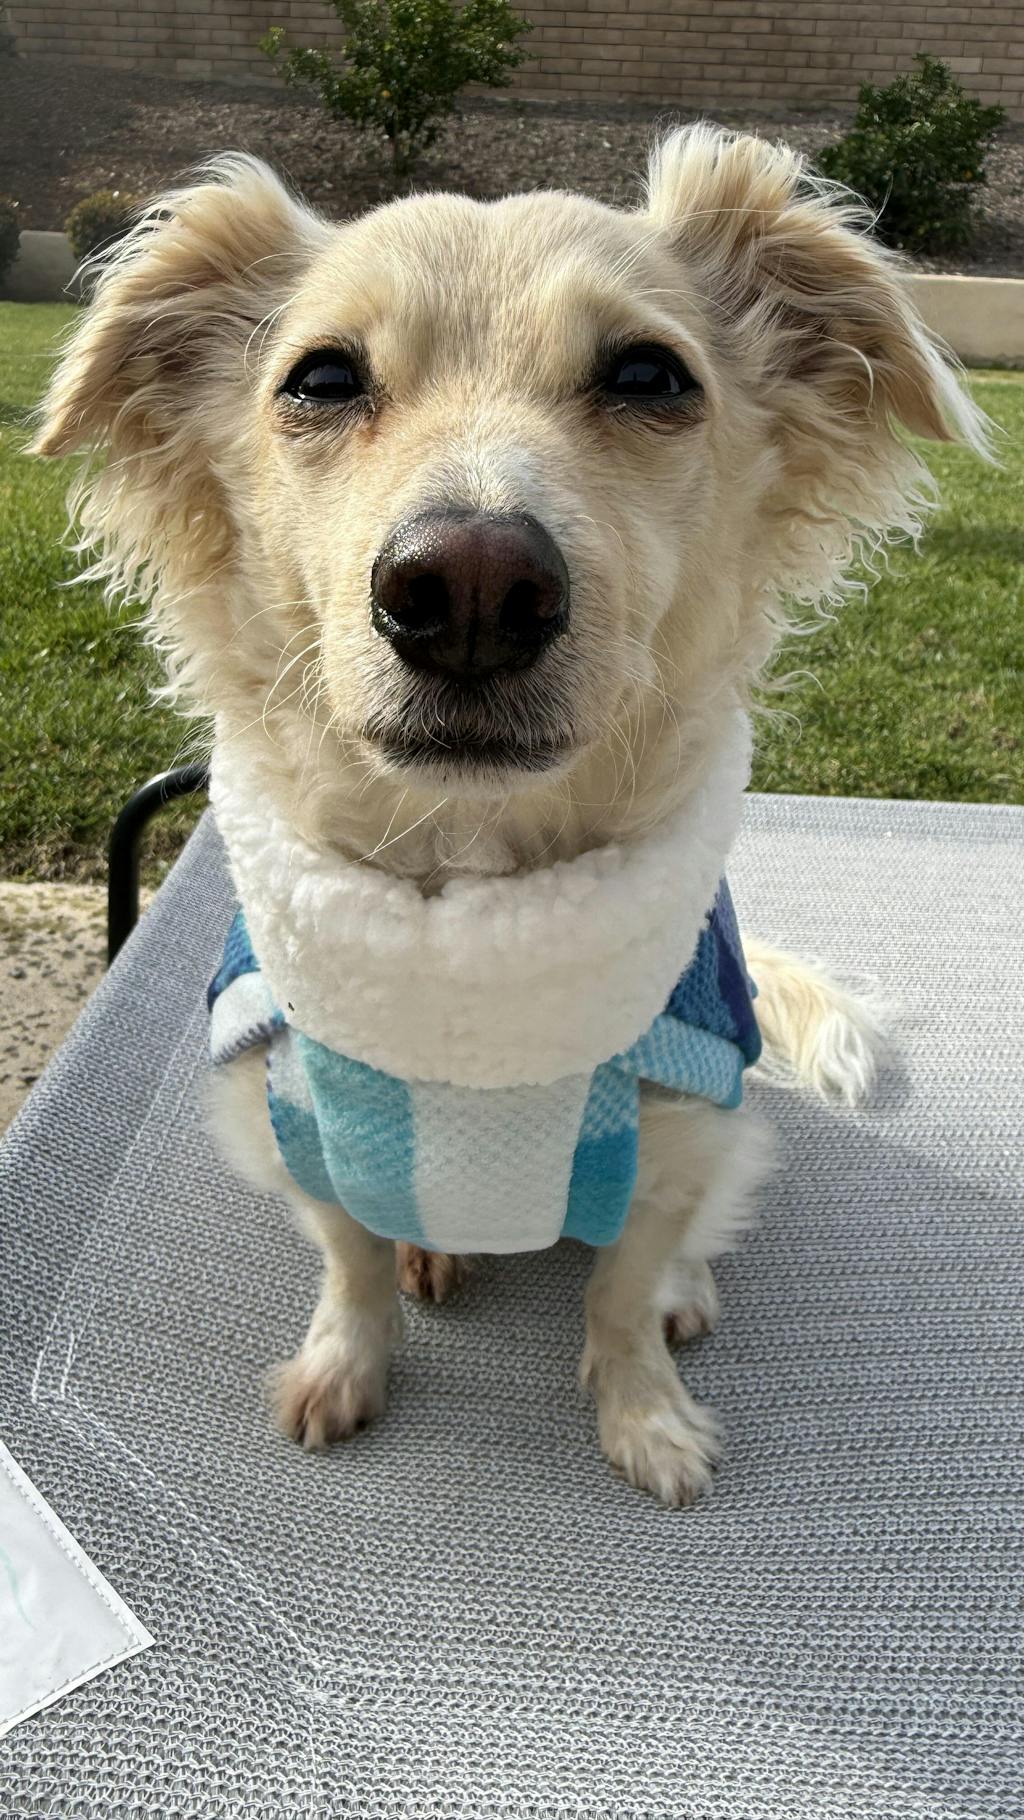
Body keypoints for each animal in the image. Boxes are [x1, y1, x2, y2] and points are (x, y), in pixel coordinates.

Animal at [35, 128, 987, 1506]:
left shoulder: (681, 1126)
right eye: (322, 379)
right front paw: (347, 1360)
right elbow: (348, 1260)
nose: (470, 587)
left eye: (649, 375)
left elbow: (622, 1290)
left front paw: (646, 1412)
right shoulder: (296, 1119)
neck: (473, 906)